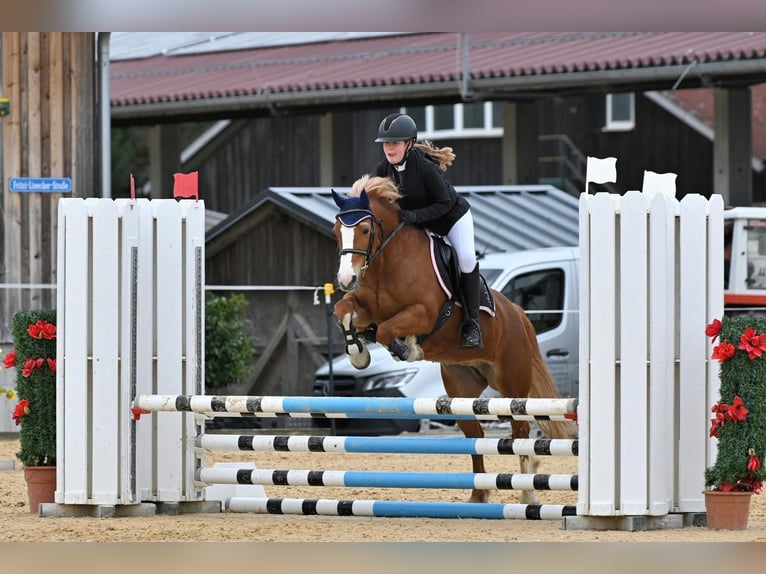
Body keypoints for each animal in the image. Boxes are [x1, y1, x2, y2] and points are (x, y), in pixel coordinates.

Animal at [332, 176, 580, 504]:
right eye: (336, 230)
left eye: (364, 230)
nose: (345, 279)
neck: (388, 261)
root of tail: (517, 313)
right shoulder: (365, 307)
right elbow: (343, 310)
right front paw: (358, 352)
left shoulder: (423, 313)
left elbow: (386, 331)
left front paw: (407, 349)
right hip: (461, 389)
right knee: (476, 437)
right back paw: (478, 496)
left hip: (512, 384)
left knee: (520, 435)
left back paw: (528, 496)